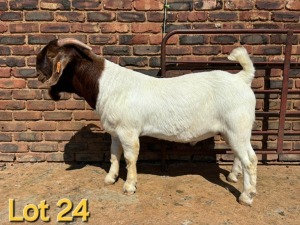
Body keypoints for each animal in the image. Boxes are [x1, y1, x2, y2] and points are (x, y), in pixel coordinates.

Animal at [36, 38, 258, 206]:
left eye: (50, 56)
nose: (37, 74)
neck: (106, 84)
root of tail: (241, 78)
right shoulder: (115, 132)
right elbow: (114, 155)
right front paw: (110, 178)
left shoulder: (128, 131)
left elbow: (130, 157)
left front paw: (129, 186)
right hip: (236, 131)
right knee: (245, 155)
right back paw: (236, 179)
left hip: (237, 127)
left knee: (249, 160)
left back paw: (246, 196)